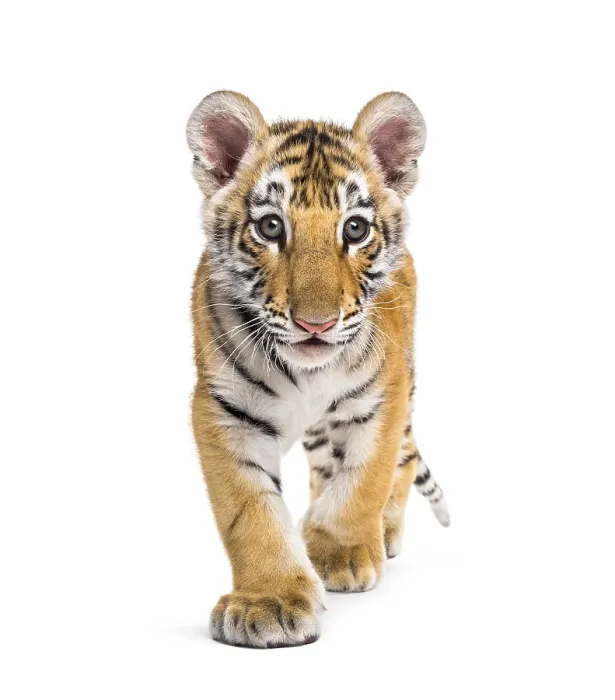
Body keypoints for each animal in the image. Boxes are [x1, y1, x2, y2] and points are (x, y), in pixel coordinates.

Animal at [186, 90, 449, 648]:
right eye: (270, 226)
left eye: (354, 228)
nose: (316, 323)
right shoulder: (224, 411)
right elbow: (249, 510)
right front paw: (269, 601)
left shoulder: (383, 395)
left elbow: (365, 477)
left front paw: (342, 553)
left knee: (398, 464)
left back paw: (380, 533)